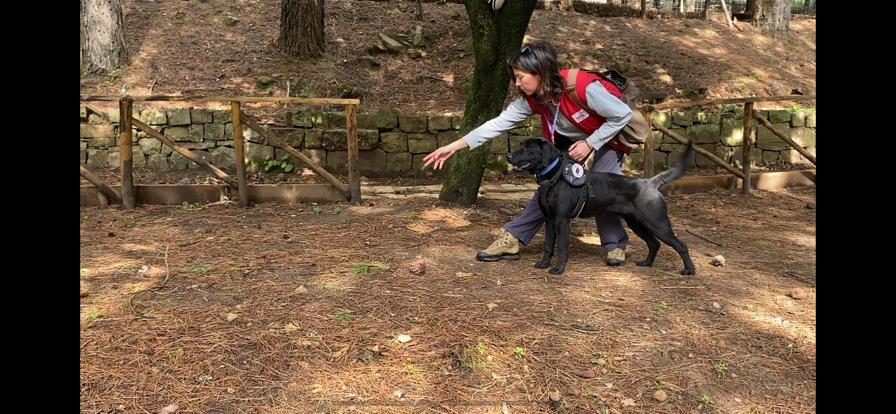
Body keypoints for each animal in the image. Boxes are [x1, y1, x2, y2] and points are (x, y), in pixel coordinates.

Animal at [508, 137, 696, 276]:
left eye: (528, 148)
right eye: (521, 145)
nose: (508, 156)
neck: (554, 177)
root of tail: (649, 182)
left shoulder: (562, 221)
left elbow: (561, 247)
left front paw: (558, 269)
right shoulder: (549, 220)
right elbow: (548, 246)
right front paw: (544, 264)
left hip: (657, 223)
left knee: (681, 245)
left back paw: (689, 270)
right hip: (637, 223)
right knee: (654, 244)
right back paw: (646, 263)